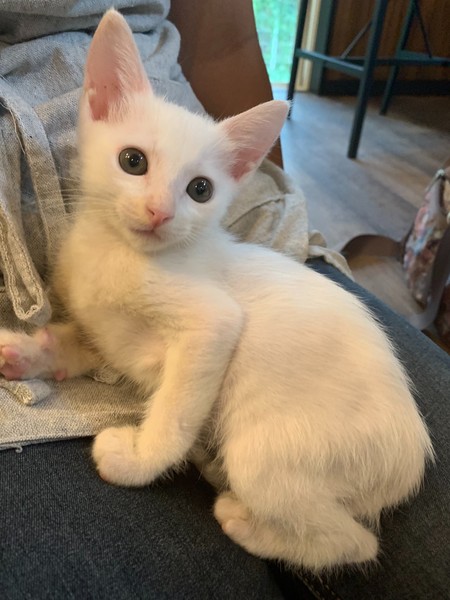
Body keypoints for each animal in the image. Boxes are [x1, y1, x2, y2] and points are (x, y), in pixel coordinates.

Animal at [0, 9, 433, 571]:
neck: (117, 253)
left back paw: (244, 521)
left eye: (200, 190)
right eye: (133, 161)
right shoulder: (107, 332)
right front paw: (28, 353)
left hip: (268, 454)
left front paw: (137, 460)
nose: (161, 212)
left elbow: (176, 412)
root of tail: (408, 464)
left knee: (355, 542)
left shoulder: (212, 324)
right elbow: (79, 342)